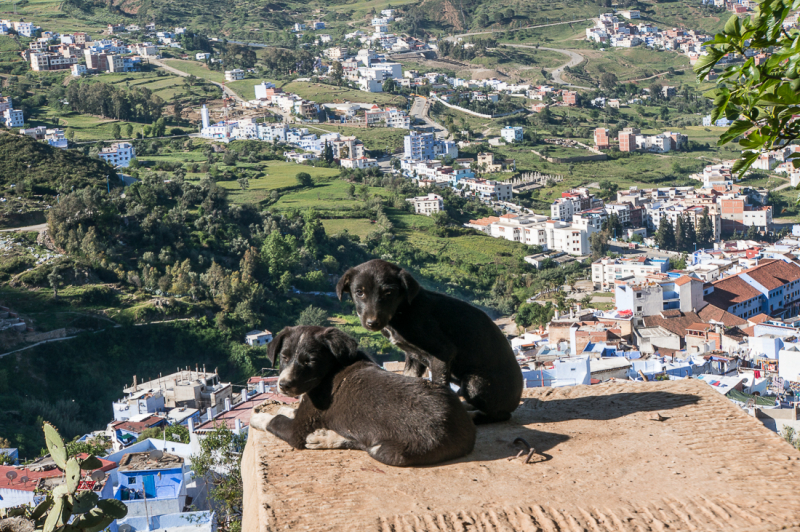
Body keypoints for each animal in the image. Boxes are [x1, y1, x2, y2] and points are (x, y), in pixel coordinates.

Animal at [250, 324, 476, 466]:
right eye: (284, 357)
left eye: (310, 361)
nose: (284, 385)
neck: (331, 369)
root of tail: (466, 433)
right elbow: (289, 411)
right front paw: (286, 407)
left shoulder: (298, 431)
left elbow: (274, 421)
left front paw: (258, 418)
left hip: (391, 451)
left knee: (362, 444)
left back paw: (325, 438)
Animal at [334, 258, 520, 424]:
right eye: (359, 292)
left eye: (388, 293)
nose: (372, 323)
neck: (403, 310)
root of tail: (516, 400)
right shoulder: (413, 356)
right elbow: (408, 377)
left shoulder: (443, 353)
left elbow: (439, 385)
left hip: (474, 383)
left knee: (500, 414)